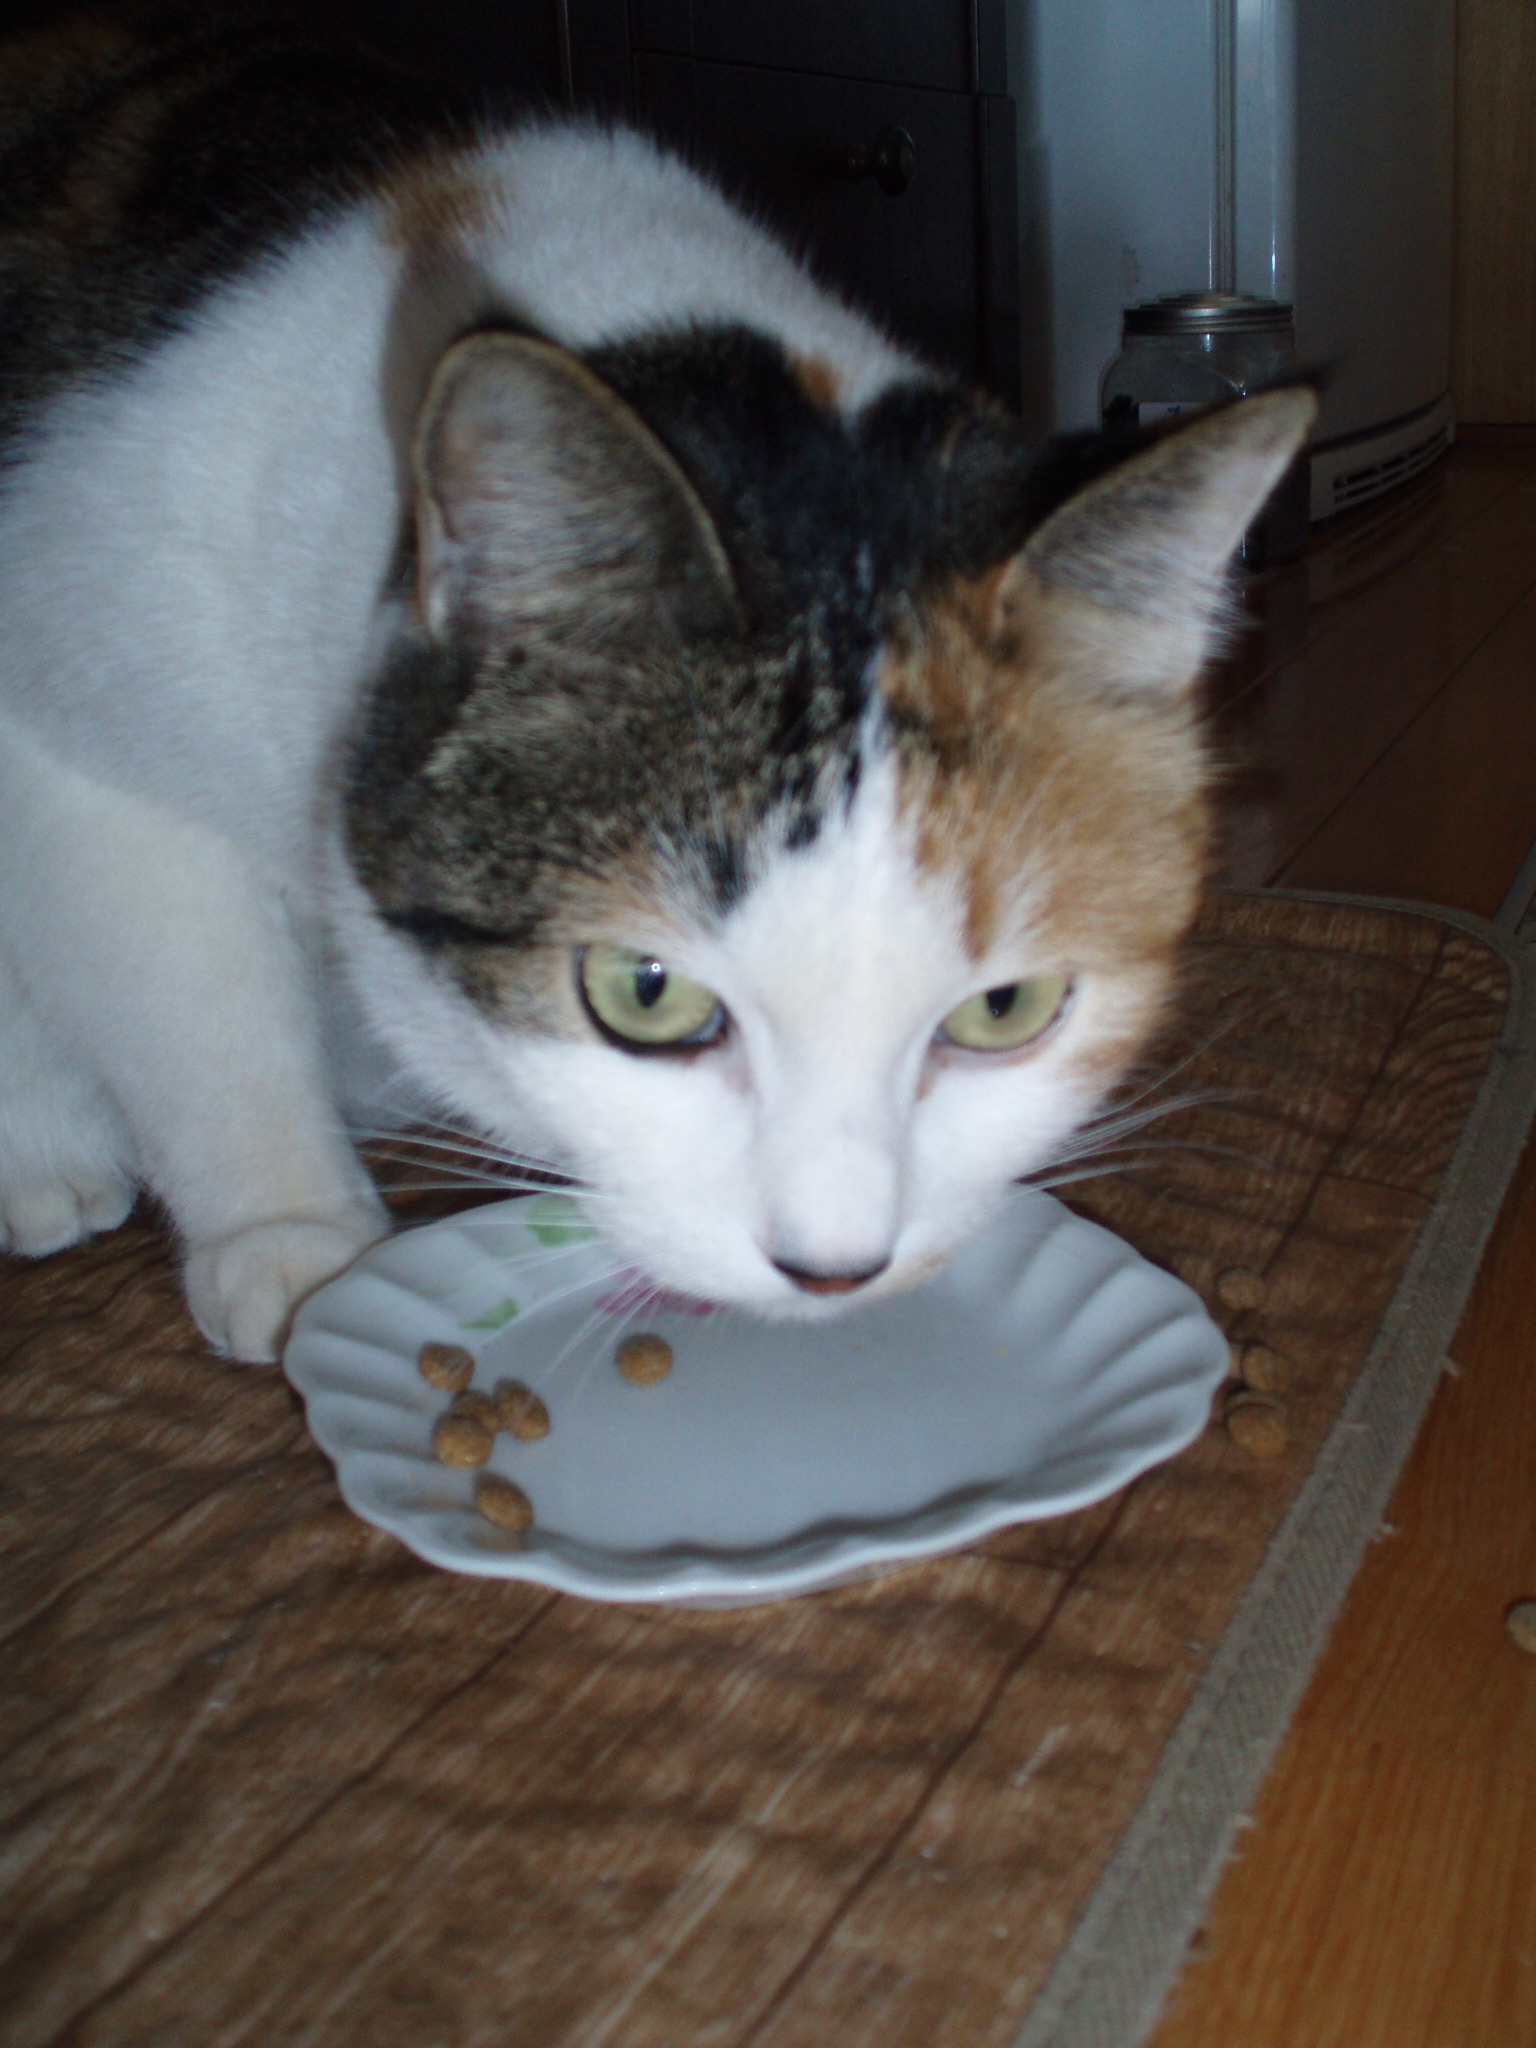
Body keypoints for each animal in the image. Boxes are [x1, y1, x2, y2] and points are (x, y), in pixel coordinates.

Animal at [0, 15, 1314, 1361]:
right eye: (645, 993)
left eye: (1008, 1006)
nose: (833, 1268)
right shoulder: (74, 663)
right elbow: (192, 999)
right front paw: (292, 1233)